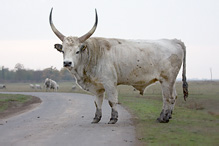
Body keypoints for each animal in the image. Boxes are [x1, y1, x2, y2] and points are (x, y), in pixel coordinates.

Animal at [49, 8, 188, 124]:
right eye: (63, 51)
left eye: (77, 51)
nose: (67, 63)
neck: (94, 54)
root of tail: (174, 41)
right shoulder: (97, 86)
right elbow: (97, 102)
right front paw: (96, 118)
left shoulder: (109, 82)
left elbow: (112, 101)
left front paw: (113, 118)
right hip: (170, 81)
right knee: (174, 96)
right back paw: (168, 116)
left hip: (167, 80)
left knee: (168, 97)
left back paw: (162, 118)